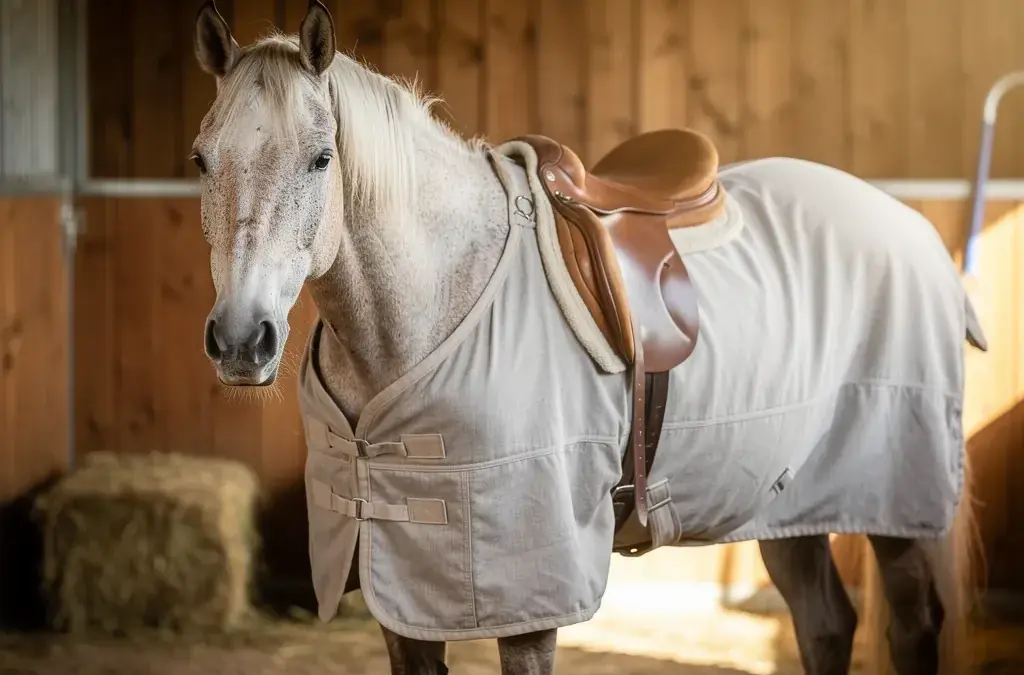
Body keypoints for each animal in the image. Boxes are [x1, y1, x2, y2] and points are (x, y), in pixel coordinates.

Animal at [191, 2, 986, 674]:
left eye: (321, 157)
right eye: (202, 159)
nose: (241, 339)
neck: (430, 303)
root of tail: (910, 225)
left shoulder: (527, 596)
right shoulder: (398, 586)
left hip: (892, 498)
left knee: (911, 626)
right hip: (786, 499)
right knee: (825, 623)